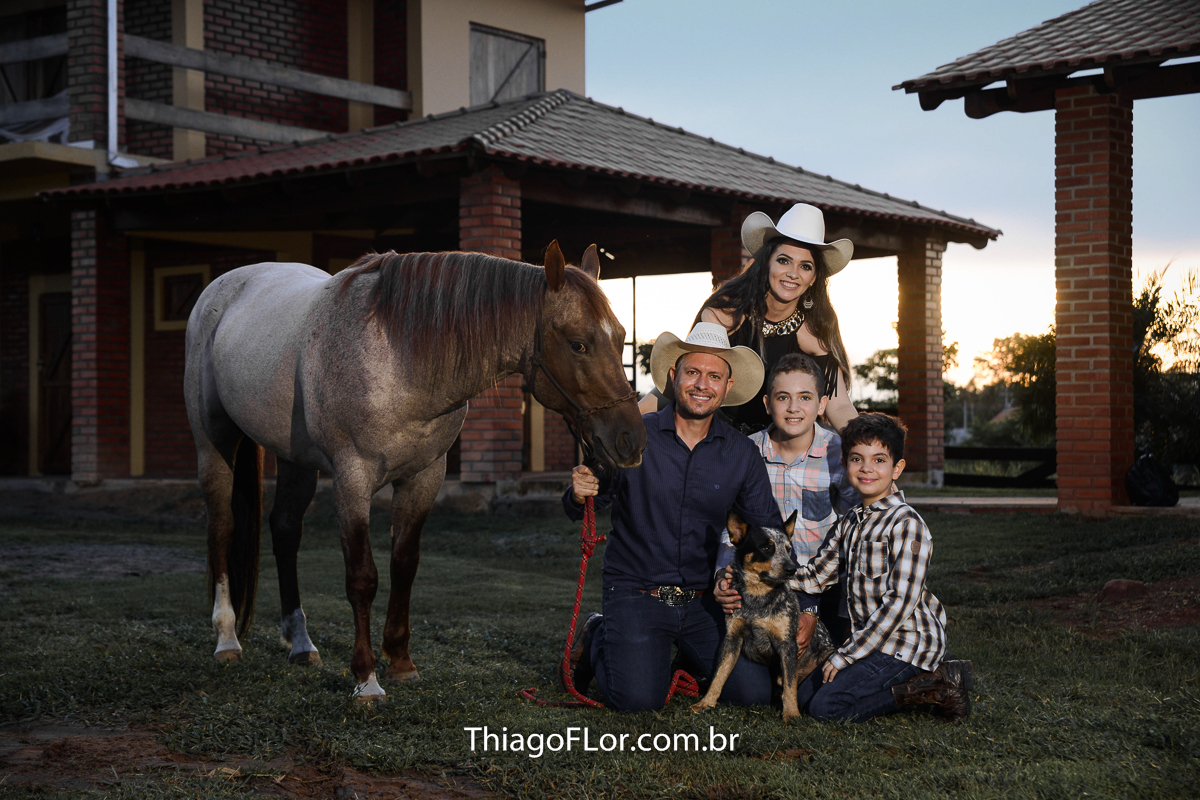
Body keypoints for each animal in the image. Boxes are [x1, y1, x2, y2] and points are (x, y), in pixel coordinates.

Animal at [183, 242, 645, 702]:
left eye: (622, 336)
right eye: (578, 344)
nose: (631, 441)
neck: (396, 359)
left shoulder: (425, 476)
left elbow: (404, 565)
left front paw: (401, 662)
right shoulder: (352, 480)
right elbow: (362, 576)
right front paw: (367, 678)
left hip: (296, 460)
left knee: (284, 530)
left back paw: (300, 642)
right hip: (213, 444)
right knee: (222, 527)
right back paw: (227, 639)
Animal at [691, 509, 835, 722]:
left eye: (788, 549)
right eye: (767, 547)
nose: (792, 569)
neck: (757, 598)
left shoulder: (787, 644)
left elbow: (790, 685)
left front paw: (791, 714)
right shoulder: (732, 638)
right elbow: (719, 674)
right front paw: (706, 702)